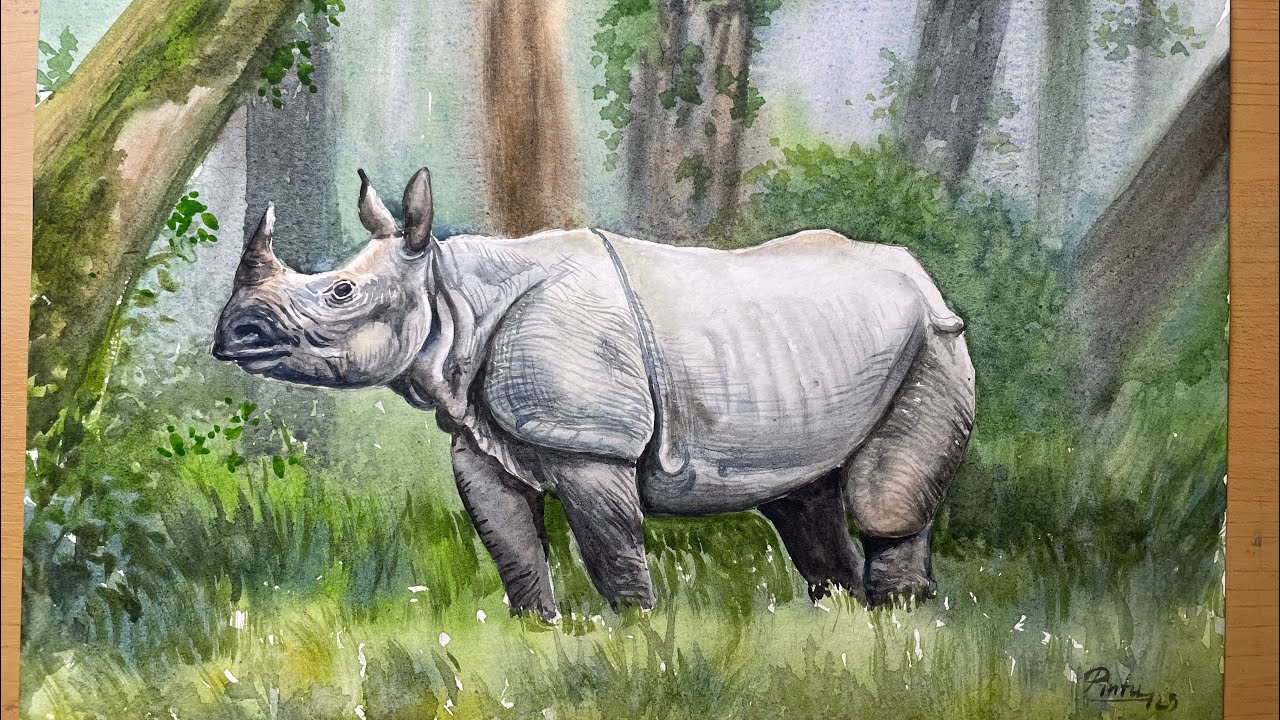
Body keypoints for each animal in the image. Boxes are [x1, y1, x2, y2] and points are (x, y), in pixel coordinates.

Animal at [212, 167, 975, 620]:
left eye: (341, 293)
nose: (231, 334)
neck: (454, 294)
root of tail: (923, 276)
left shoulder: (593, 444)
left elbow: (609, 545)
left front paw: (637, 629)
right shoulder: (479, 438)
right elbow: (512, 544)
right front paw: (538, 628)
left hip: (933, 340)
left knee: (882, 499)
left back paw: (901, 621)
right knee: (801, 499)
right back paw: (846, 617)